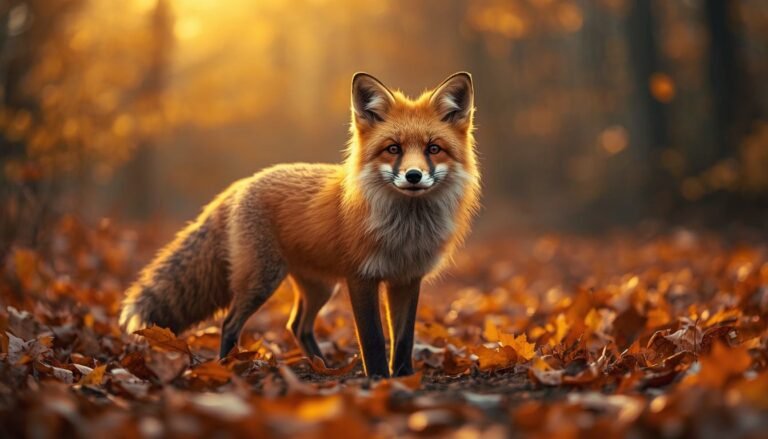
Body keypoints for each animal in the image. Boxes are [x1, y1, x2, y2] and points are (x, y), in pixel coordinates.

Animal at [119, 72, 480, 377]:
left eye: (434, 149)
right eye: (393, 148)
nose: (414, 175)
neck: (405, 231)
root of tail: (241, 184)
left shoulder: (406, 279)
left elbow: (404, 339)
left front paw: (404, 378)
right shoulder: (361, 277)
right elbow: (374, 339)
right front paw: (380, 379)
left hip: (319, 287)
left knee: (297, 325)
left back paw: (321, 366)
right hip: (262, 280)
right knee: (231, 323)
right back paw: (228, 366)